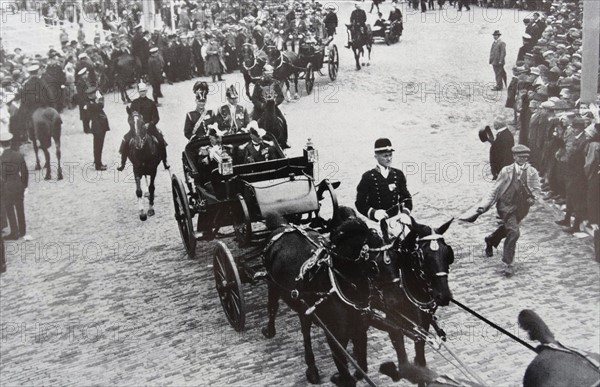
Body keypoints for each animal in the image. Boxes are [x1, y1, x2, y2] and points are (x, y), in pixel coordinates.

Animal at [262, 209, 404, 387]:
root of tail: (283, 226)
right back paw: (271, 332)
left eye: (398, 258)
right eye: (374, 266)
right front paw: (340, 377)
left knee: (304, 324)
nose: (397, 301)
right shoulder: (335, 339)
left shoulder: (359, 328)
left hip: (303, 304)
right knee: (272, 307)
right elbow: (347, 375)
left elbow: (362, 364)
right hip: (272, 285)